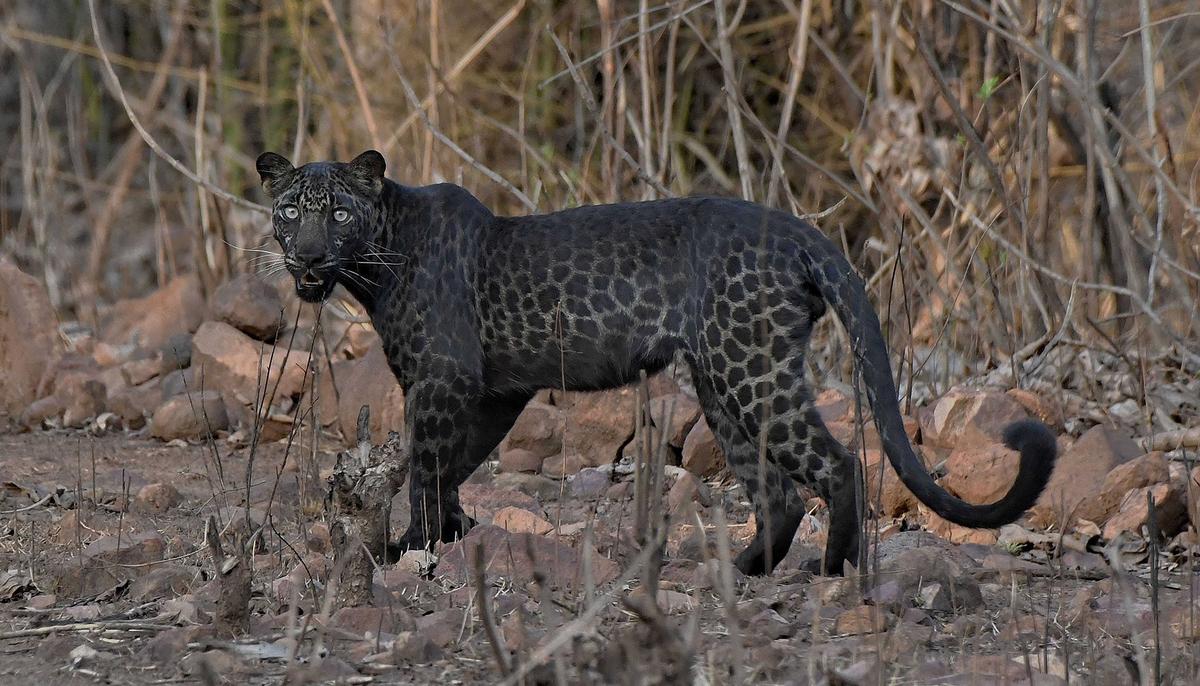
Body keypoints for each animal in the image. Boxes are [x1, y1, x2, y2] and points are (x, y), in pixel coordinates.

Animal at [255, 149, 1058, 576]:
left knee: (836, 465)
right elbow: (453, 465)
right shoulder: (494, 390)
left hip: (750, 371)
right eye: (290, 209)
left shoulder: (444, 380)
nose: (307, 256)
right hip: (723, 381)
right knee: (778, 491)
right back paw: (740, 572)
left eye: (338, 212)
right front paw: (448, 536)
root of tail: (799, 231)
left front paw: (412, 547)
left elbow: (425, 465)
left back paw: (833, 571)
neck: (375, 263)